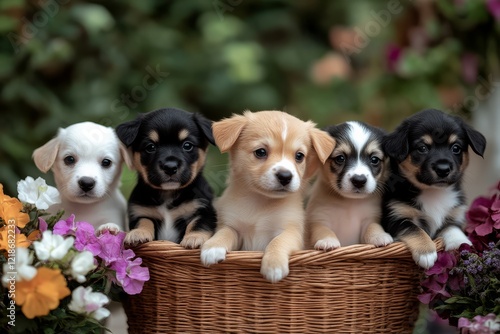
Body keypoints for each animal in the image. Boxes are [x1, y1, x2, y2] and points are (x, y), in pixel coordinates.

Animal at [117, 107, 219, 248]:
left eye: (187, 145)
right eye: (150, 147)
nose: (170, 167)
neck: (168, 194)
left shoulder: (204, 210)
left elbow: (198, 224)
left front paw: (194, 238)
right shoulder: (140, 212)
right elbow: (144, 221)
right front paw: (138, 233)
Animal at [201, 111, 334, 284]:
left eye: (299, 156)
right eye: (261, 152)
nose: (285, 176)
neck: (260, 203)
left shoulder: (291, 231)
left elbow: (278, 241)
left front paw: (274, 265)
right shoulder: (232, 226)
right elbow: (224, 233)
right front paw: (212, 247)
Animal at [306, 121, 392, 249]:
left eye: (374, 159)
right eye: (340, 158)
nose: (359, 180)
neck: (349, 203)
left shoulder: (370, 218)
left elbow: (373, 227)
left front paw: (379, 236)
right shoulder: (319, 219)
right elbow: (323, 230)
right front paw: (328, 241)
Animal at [382, 109, 484, 268]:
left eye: (456, 148)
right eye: (422, 148)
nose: (443, 169)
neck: (433, 191)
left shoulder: (453, 216)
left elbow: (452, 228)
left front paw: (461, 243)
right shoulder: (395, 217)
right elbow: (414, 229)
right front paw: (426, 252)